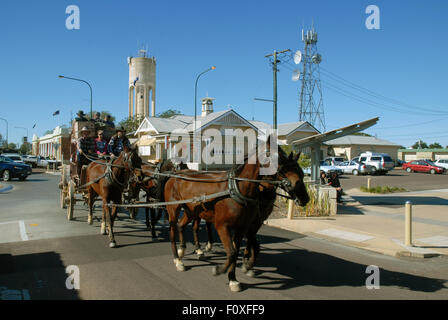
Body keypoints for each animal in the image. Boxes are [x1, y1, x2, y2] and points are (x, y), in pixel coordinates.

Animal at [164, 141, 308, 292]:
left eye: (301, 172)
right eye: (278, 158)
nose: (305, 198)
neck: (237, 189)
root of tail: (176, 174)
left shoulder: (243, 227)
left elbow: (238, 251)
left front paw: (234, 278)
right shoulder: (223, 226)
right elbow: (232, 253)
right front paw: (221, 269)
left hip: (191, 211)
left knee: (181, 225)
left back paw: (182, 250)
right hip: (173, 209)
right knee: (173, 231)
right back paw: (177, 259)